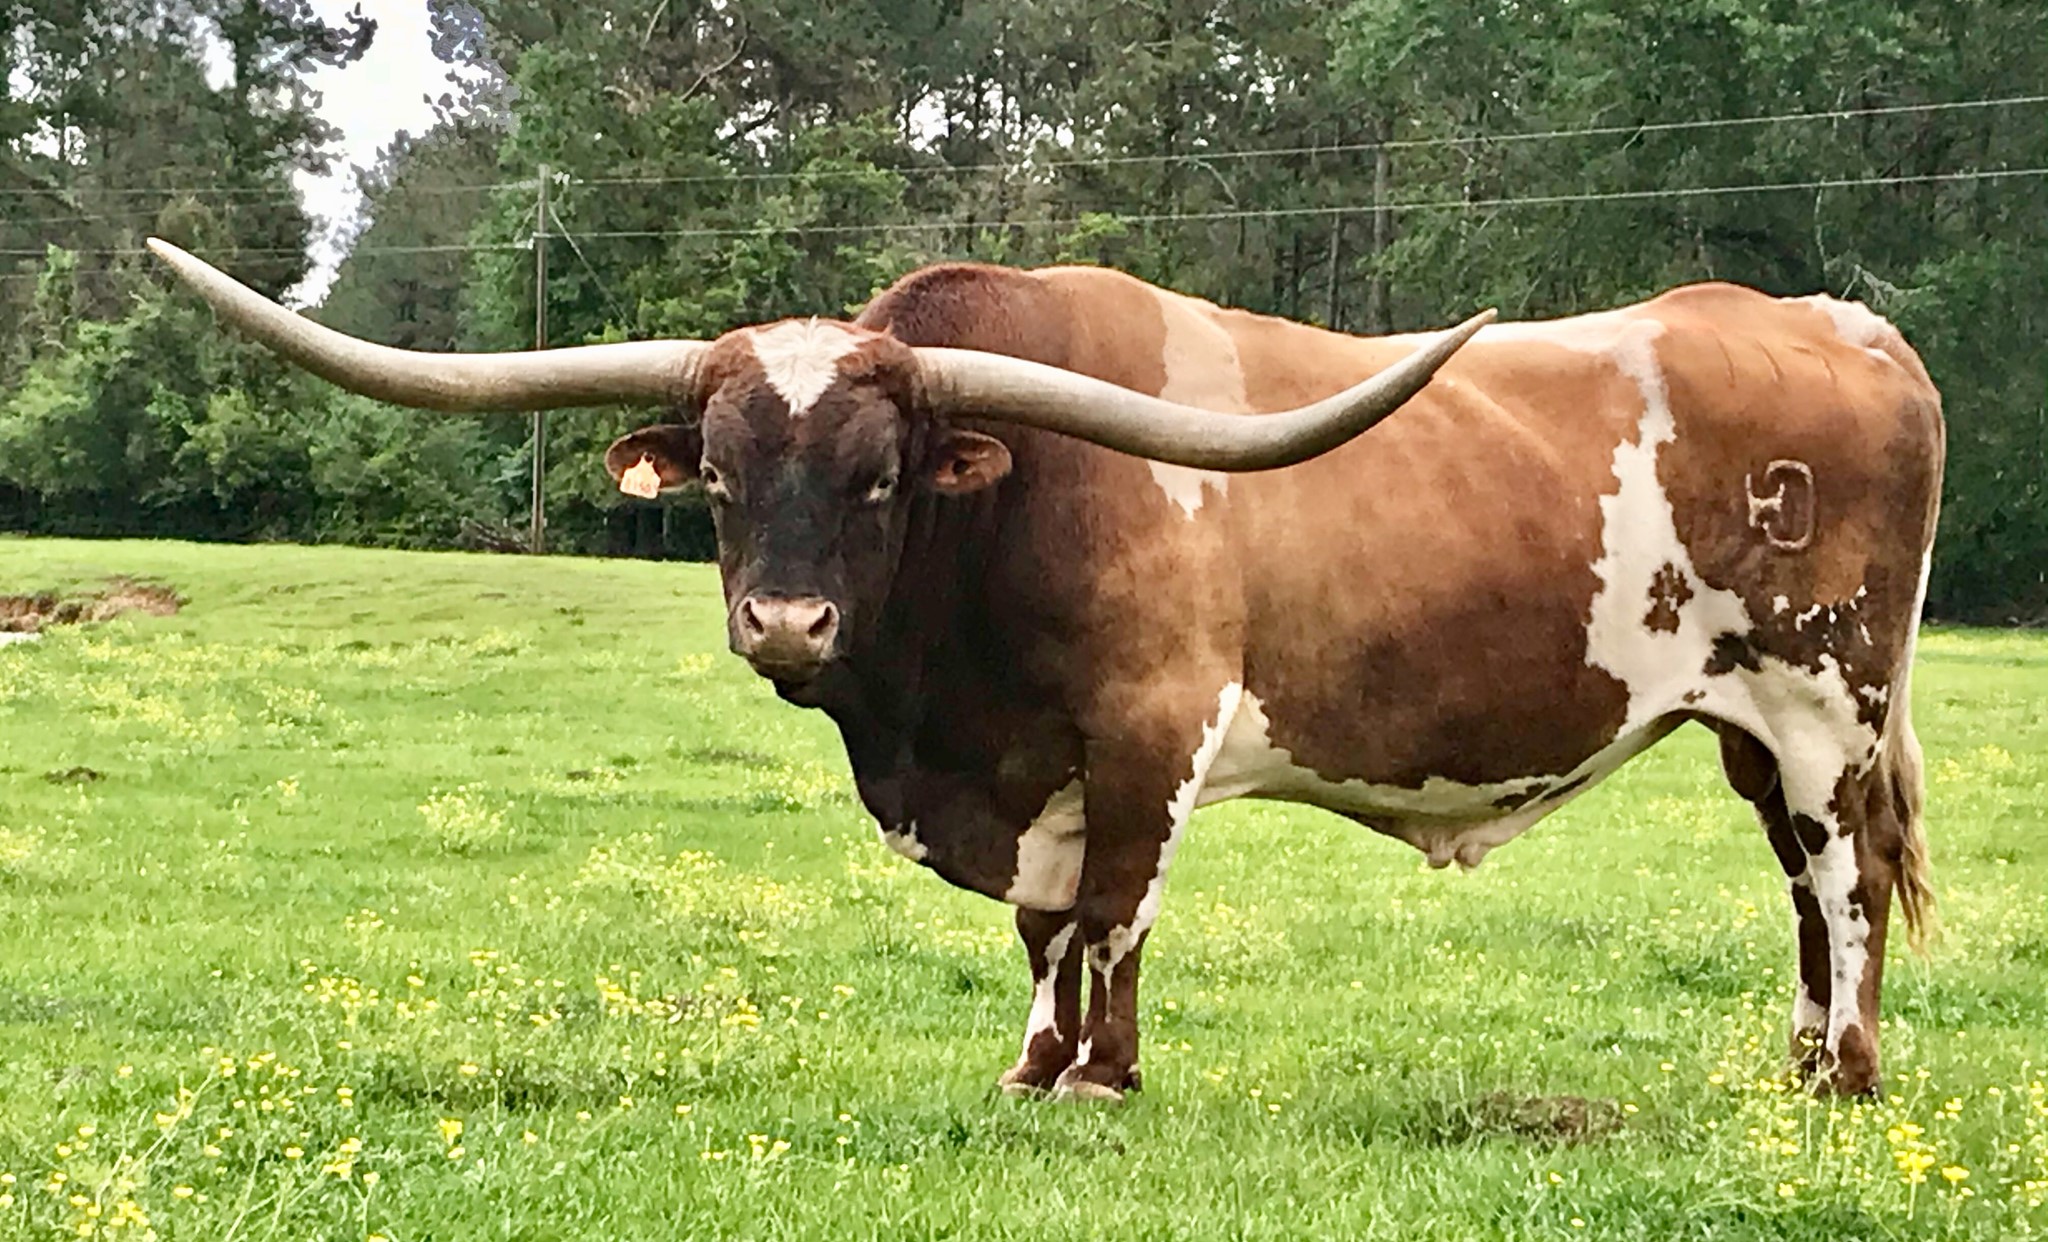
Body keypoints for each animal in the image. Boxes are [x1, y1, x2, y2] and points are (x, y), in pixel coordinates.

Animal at [148, 238, 1942, 1101]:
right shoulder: (1032, 774)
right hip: (1746, 722)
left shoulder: (1151, 734)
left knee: (1845, 881)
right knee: (1800, 887)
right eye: (720, 476)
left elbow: (1116, 914)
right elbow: (1041, 924)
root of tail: (1841, 323)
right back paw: (1797, 1058)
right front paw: (1029, 1062)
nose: (784, 625)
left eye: (879, 474)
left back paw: (1848, 1076)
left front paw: (1102, 1076)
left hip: (1823, 703)